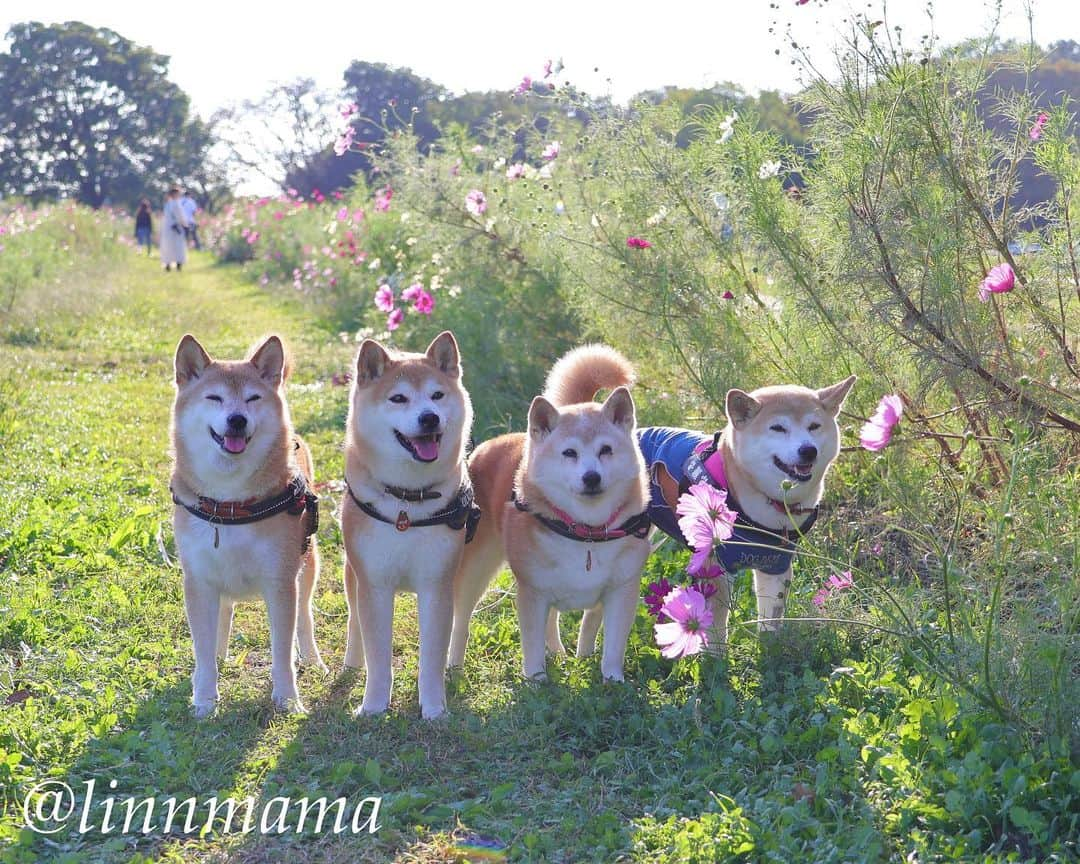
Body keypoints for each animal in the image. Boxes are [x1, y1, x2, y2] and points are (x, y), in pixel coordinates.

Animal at [170, 334, 321, 717]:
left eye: (253, 398)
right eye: (214, 397)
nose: (237, 419)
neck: (230, 504)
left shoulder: (280, 582)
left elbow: (282, 653)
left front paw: (288, 700)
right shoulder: (198, 581)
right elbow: (202, 649)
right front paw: (204, 700)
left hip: (308, 564)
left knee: (305, 617)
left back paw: (313, 659)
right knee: (222, 616)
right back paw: (219, 656)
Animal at [336, 328, 473, 717]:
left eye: (437, 395)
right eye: (398, 398)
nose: (429, 418)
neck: (406, 506)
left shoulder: (436, 585)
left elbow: (431, 657)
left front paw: (434, 709)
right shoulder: (375, 585)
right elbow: (378, 656)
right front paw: (373, 707)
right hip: (353, 575)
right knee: (355, 625)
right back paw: (352, 662)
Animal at [449, 345, 648, 682]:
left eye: (606, 450)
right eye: (569, 453)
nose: (591, 477)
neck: (585, 532)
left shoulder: (622, 590)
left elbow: (611, 645)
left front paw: (613, 680)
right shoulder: (532, 592)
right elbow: (531, 644)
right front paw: (536, 681)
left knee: (554, 620)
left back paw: (560, 653)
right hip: (475, 569)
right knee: (461, 620)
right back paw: (454, 667)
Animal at [635, 373, 855, 643]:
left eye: (814, 426)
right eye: (778, 428)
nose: (808, 450)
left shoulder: (776, 566)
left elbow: (770, 623)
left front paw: (770, 647)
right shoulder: (714, 569)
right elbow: (716, 633)